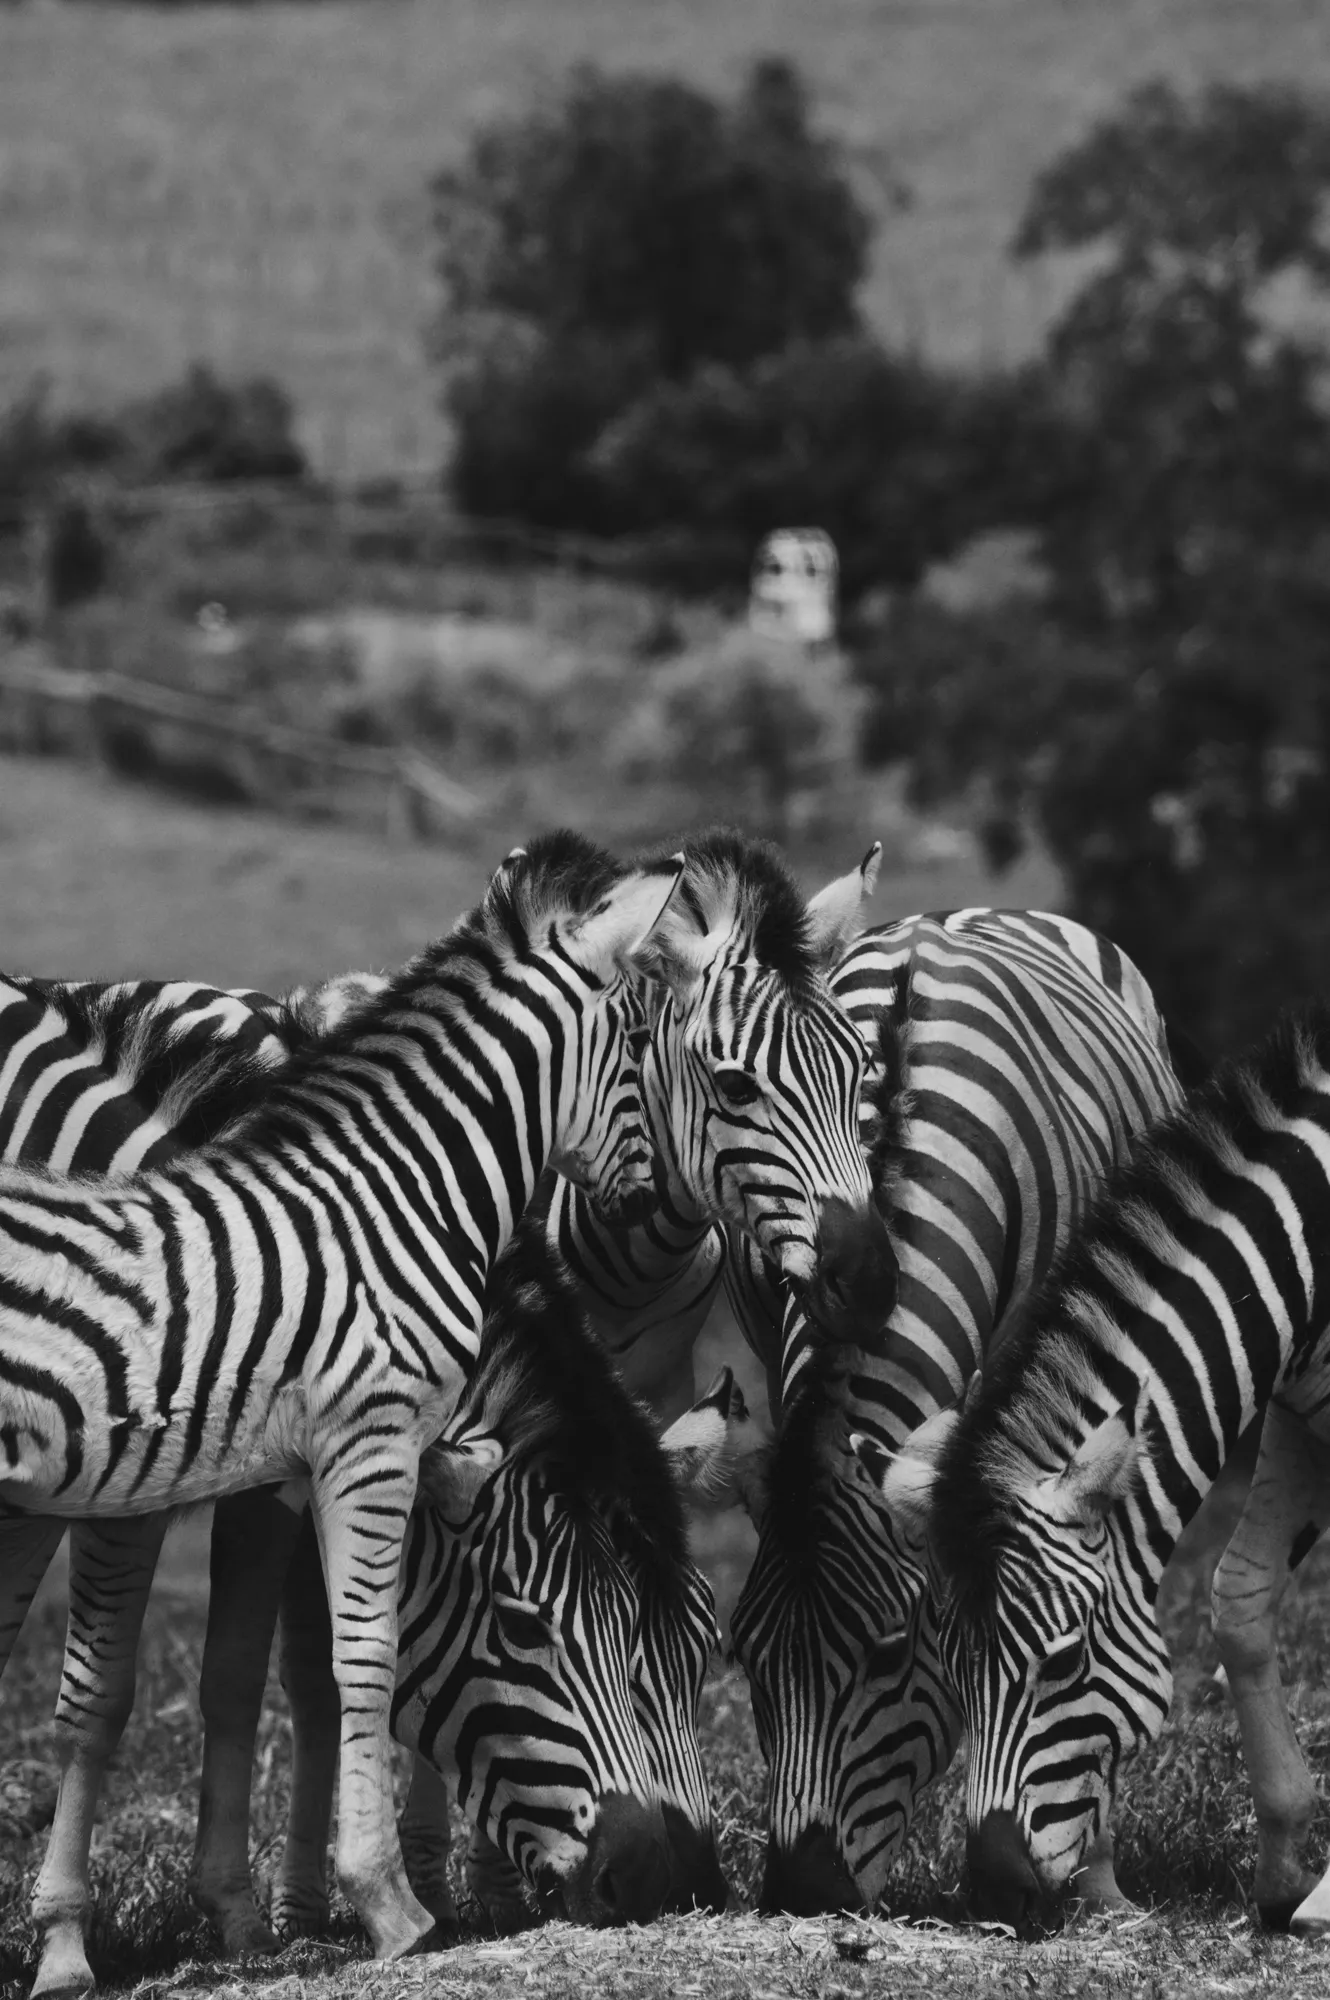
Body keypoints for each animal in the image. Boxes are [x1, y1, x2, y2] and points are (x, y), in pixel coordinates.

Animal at [0, 824, 684, 1952]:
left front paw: (244, 1912)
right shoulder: (340, 1443)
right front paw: (388, 1905)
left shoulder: (253, 1472)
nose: (647, 1873)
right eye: (524, 1627)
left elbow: (251, 1671)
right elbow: (346, 1657)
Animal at [856, 1008, 1330, 1928]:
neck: (1305, 1250)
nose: (997, 1892)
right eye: (952, 1673)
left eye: (1065, 1660)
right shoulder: (1298, 1410)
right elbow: (1239, 1599)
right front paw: (1290, 1866)